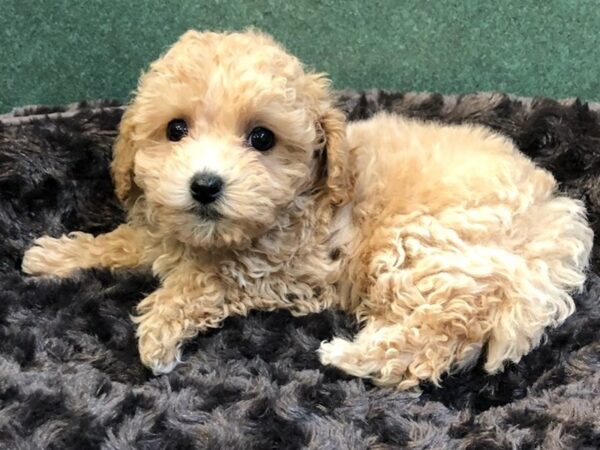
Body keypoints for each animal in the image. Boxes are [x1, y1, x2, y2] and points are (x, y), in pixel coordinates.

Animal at [21, 29, 592, 388]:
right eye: (175, 129)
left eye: (261, 138)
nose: (204, 186)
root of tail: (554, 225)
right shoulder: (168, 230)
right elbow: (127, 241)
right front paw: (54, 257)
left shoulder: (271, 268)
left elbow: (199, 283)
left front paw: (158, 331)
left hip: (426, 246)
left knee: (439, 335)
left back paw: (349, 355)